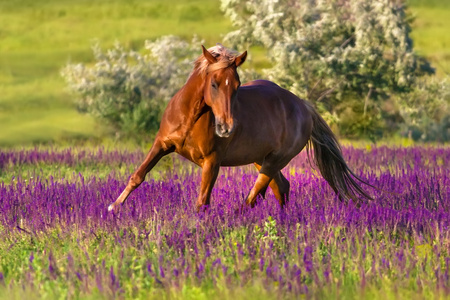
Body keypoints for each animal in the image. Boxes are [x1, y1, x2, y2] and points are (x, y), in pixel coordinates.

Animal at [107, 44, 370, 213]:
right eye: (213, 84)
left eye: (237, 85)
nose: (226, 128)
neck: (191, 118)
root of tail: (303, 105)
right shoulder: (162, 144)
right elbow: (138, 175)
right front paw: (114, 207)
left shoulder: (212, 161)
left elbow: (202, 201)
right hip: (260, 159)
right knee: (280, 187)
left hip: (274, 160)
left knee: (255, 195)